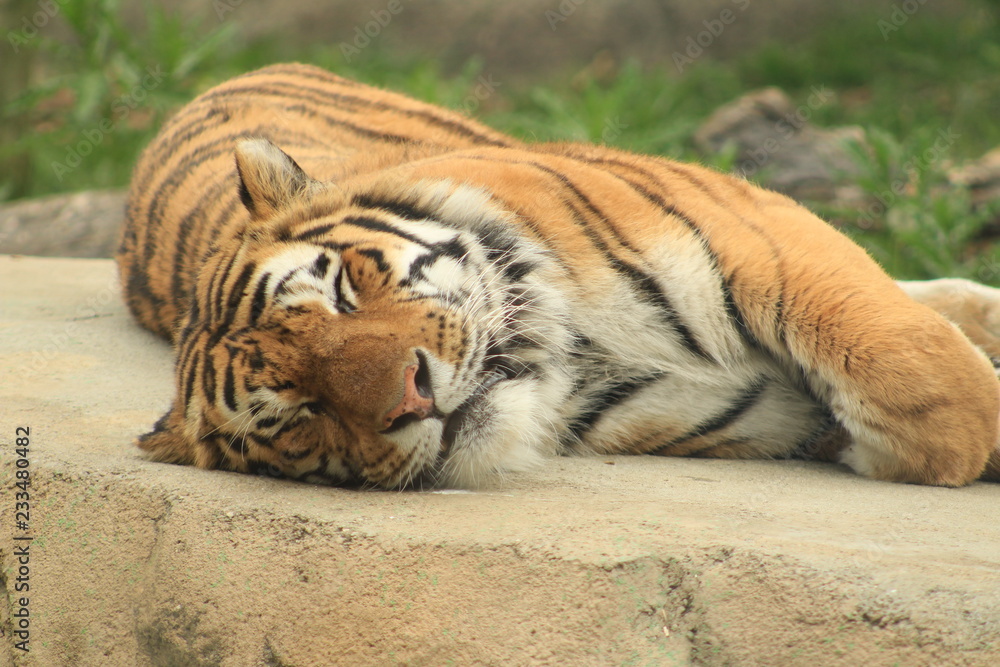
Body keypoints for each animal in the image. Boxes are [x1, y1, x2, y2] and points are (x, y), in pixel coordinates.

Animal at [118, 62, 1000, 489]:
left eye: (343, 290)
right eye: (298, 414)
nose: (411, 396)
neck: (577, 355)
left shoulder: (754, 230)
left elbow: (912, 366)